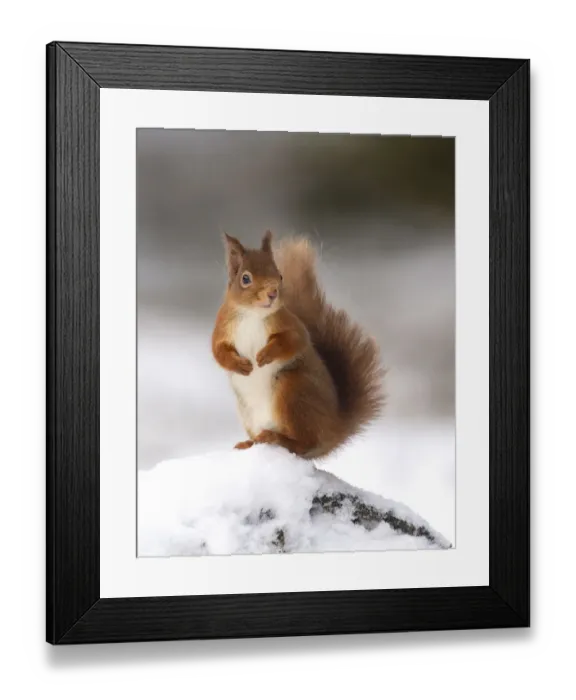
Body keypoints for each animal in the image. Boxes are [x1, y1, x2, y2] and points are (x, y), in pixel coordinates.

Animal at [211, 230, 385, 460]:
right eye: (245, 278)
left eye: (280, 276)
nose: (272, 293)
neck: (252, 314)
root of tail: (334, 431)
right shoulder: (222, 329)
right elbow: (218, 351)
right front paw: (239, 365)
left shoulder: (291, 325)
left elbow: (294, 341)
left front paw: (265, 355)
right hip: (249, 411)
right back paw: (250, 442)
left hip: (292, 390)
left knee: (304, 443)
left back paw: (276, 438)